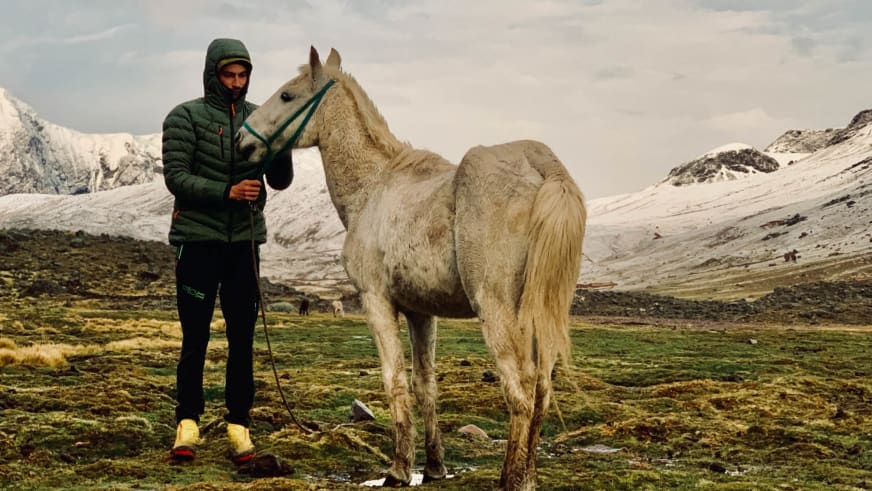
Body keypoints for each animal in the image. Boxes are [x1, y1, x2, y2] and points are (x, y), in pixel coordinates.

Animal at [237, 47, 586, 491]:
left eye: (286, 95)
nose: (241, 141)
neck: (372, 188)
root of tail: (545, 166)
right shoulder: (422, 313)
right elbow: (425, 386)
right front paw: (434, 465)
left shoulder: (376, 302)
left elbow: (395, 381)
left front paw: (400, 468)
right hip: (538, 315)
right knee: (541, 390)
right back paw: (528, 477)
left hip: (498, 312)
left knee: (520, 392)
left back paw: (511, 478)